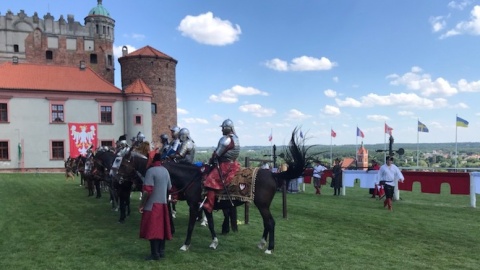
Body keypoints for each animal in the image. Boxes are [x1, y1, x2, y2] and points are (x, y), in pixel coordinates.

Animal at [116, 128, 306, 253]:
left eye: (124, 163)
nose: (115, 177)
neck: (190, 177)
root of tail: (273, 174)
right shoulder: (205, 204)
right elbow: (211, 224)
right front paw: (214, 241)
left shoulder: (194, 205)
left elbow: (191, 225)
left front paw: (185, 244)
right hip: (261, 205)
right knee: (267, 223)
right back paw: (260, 243)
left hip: (262, 205)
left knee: (270, 223)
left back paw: (269, 248)